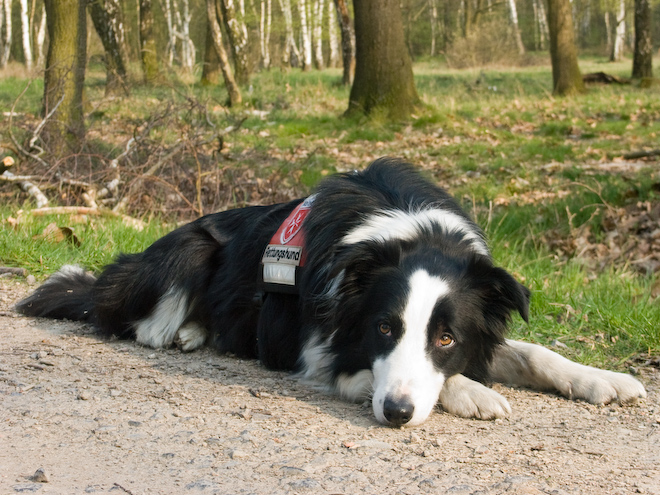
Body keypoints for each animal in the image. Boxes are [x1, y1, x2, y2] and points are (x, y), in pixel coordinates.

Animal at [15, 158, 644, 426]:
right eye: (384, 328)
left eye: (446, 337)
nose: (396, 414)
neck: (412, 233)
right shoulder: (321, 347)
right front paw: (473, 393)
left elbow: (534, 352)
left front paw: (603, 379)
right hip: (186, 249)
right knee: (141, 324)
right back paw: (181, 332)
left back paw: (197, 334)